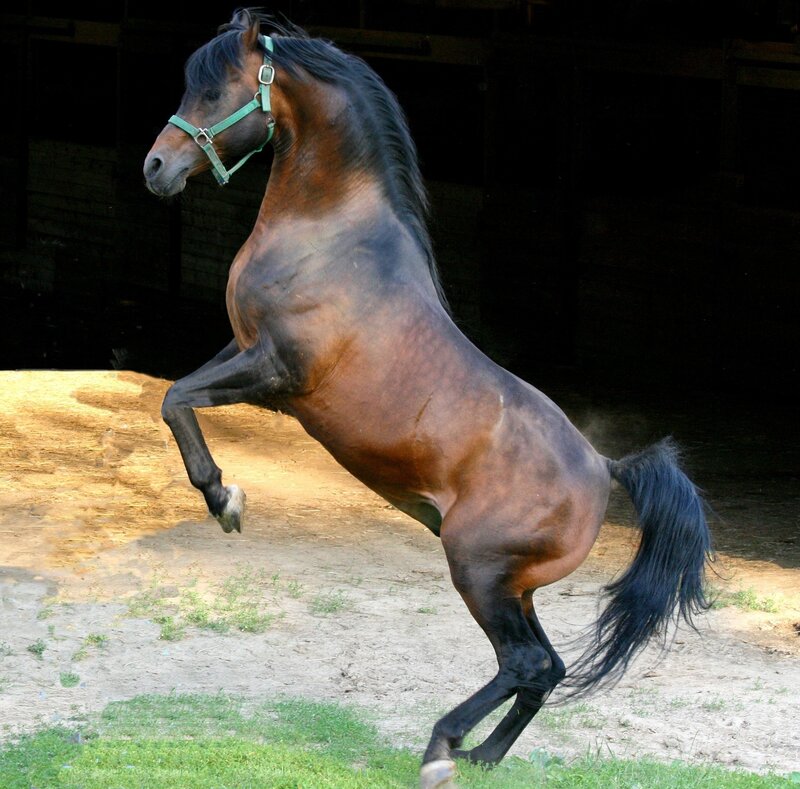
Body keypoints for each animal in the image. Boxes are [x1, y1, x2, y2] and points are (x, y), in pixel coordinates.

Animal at [143, 10, 712, 787]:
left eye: (215, 88)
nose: (155, 167)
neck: (331, 233)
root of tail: (605, 467)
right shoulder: (242, 348)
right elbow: (175, 398)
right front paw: (227, 498)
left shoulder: (276, 373)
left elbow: (175, 400)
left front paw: (225, 499)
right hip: (513, 584)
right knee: (545, 667)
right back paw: (479, 757)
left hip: (477, 567)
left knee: (525, 662)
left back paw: (442, 748)